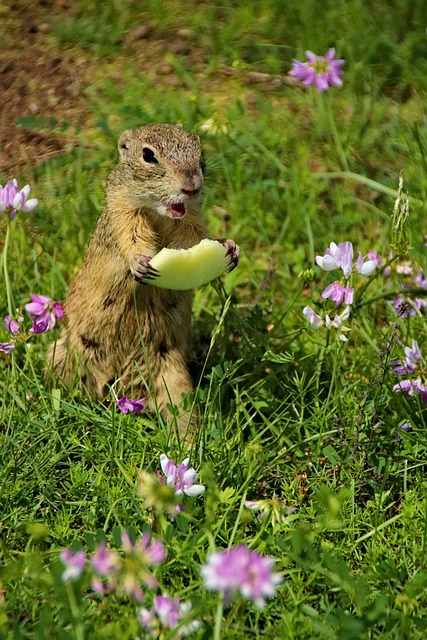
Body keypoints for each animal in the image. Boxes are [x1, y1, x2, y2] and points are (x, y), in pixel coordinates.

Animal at [50, 123, 241, 432]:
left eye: (198, 148)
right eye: (148, 155)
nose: (192, 186)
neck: (159, 213)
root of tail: (124, 385)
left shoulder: (189, 223)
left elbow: (196, 238)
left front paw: (229, 246)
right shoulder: (123, 211)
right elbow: (131, 238)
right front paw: (139, 263)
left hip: (171, 371)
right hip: (70, 355)